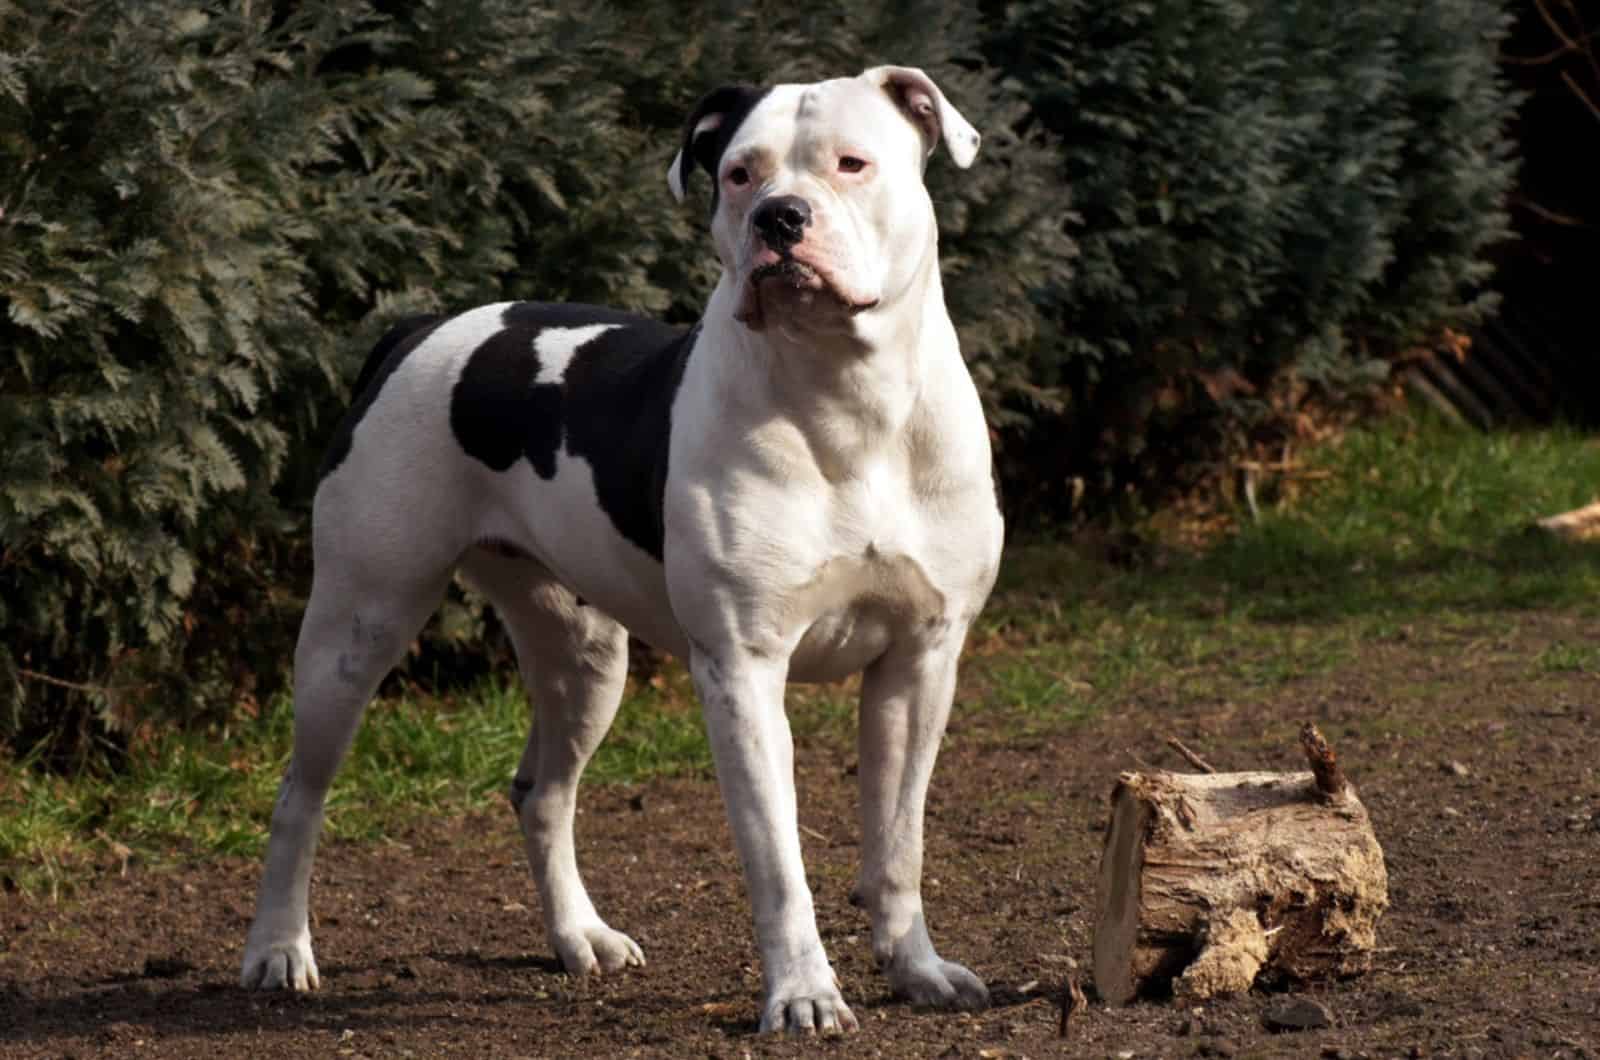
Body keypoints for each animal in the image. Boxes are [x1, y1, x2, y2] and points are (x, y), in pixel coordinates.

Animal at [240, 66, 998, 1037]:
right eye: (740, 173)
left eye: (852, 164)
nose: (780, 217)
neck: (847, 397)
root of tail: (416, 330)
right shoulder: (744, 671)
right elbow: (778, 864)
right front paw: (802, 993)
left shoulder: (920, 661)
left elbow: (901, 843)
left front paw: (916, 969)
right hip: (356, 625)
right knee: (300, 794)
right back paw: (277, 948)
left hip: (584, 654)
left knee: (543, 791)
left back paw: (579, 937)